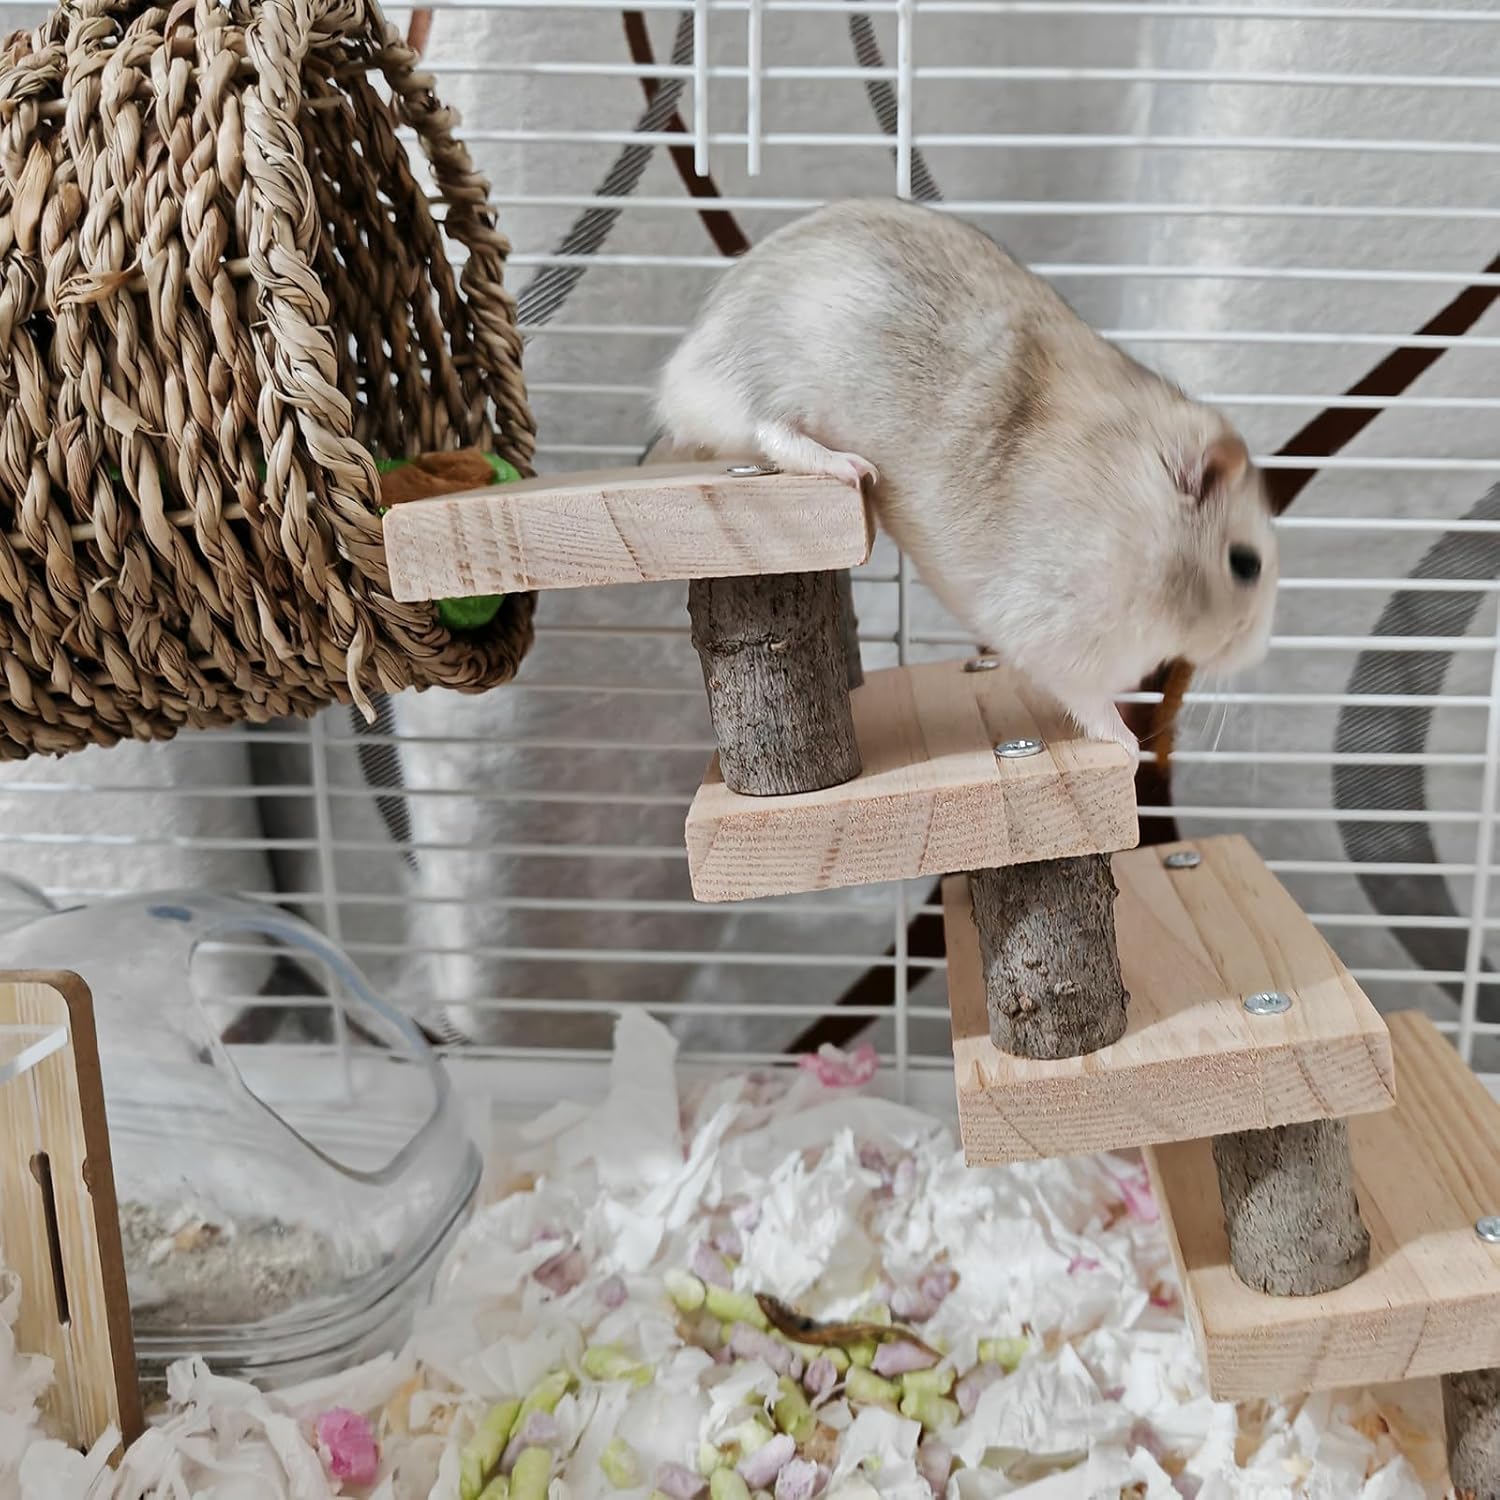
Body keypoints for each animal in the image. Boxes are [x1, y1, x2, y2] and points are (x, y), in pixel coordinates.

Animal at [654, 197, 1278, 757]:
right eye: (1245, 565)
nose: (1255, 654)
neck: (1144, 534)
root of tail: (683, 371)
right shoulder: (1060, 634)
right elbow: (1091, 703)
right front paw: (1128, 747)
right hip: (770, 379)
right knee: (771, 429)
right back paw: (850, 466)